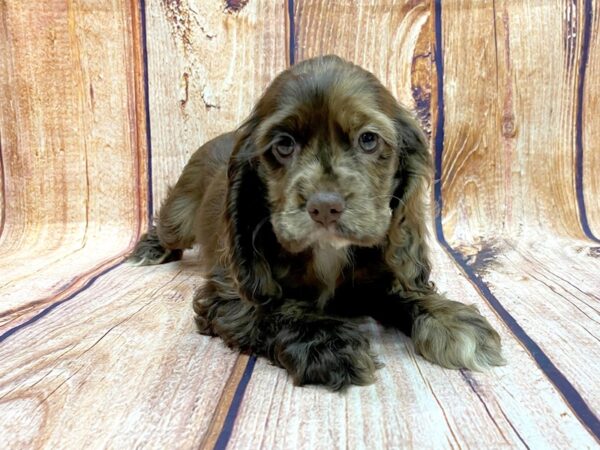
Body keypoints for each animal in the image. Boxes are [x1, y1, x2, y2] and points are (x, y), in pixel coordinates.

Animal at [129, 55, 504, 390]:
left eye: (368, 139)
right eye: (283, 144)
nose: (325, 207)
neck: (327, 251)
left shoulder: (371, 280)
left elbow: (401, 293)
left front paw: (451, 319)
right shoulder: (227, 294)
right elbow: (276, 309)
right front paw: (327, 344)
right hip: (179, 214)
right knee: (167, 225)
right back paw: (149, 249)